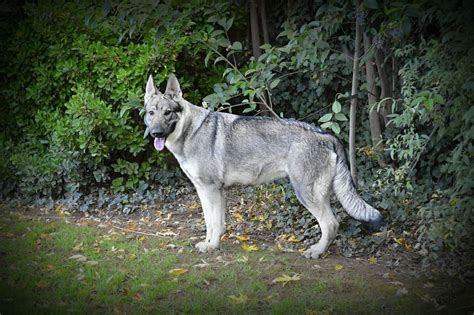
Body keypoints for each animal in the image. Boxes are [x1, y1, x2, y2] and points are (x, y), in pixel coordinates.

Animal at [143, 74, 384, 260]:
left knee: (331, 224)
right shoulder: (206, 191)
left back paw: (316, 252)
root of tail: (327, 135)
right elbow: (212, 223)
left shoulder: (212, 190)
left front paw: (211, 247)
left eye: (167, 113)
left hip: (305, 194)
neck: (190, 132)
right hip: (316, 195)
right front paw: (211, 244)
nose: (155, 133)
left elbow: (214, 223)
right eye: (151, 113)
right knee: (332, 224)